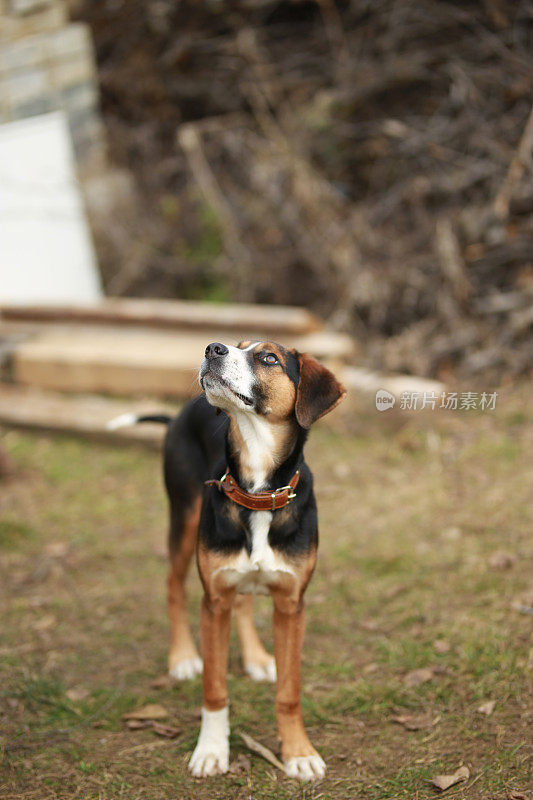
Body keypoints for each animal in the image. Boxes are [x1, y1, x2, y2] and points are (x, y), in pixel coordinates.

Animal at [110, 340, 348, 780]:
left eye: (269, 357)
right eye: (236, 347)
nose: (212, 348)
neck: (257, 489)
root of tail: (180, 413)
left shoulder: (292, 605)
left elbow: (289, 691)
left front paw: (298, 752)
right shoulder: (213, 601)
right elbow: (214, 688)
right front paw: (211, 750)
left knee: (244, 602)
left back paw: (255, 659)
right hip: (184, 519)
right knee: (173, 585)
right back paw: (183, 657)